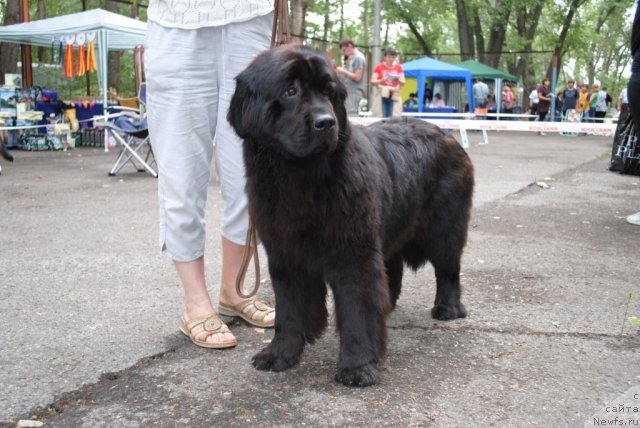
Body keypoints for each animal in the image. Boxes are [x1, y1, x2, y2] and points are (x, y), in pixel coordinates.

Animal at [228, 46, 472, 388]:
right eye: (290, 91)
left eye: (328, 92)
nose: (325, 122)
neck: (300, 178)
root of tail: (447, 134)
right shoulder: (285, 255)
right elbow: (288, 310)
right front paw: (280, 354)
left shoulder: (353, 253)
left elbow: (357, 309)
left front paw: (358, 367)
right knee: (392, 268)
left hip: (444, 228)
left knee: (448, 269)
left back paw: (447, 308)